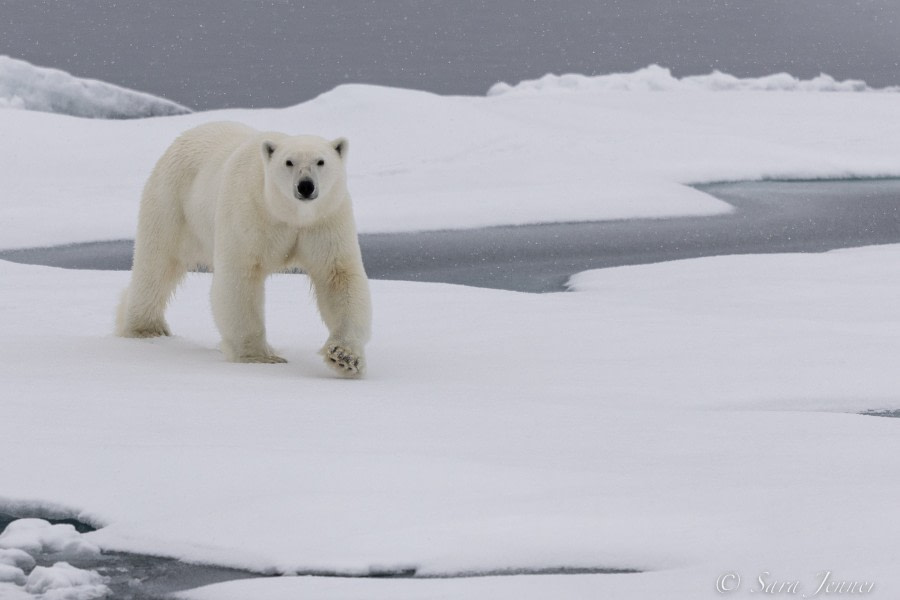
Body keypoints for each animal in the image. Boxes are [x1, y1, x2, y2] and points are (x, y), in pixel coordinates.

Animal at [117, 119, 372, 378]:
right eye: (288, 162)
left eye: (321, 161)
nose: (305, 186)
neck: (288, 214)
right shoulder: (251, 212)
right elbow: (240, 277)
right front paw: (259, 357)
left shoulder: (325, 220)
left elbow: (337, 277)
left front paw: (344, 357)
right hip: (172, 203)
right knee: (157, 264)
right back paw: (146, 328)